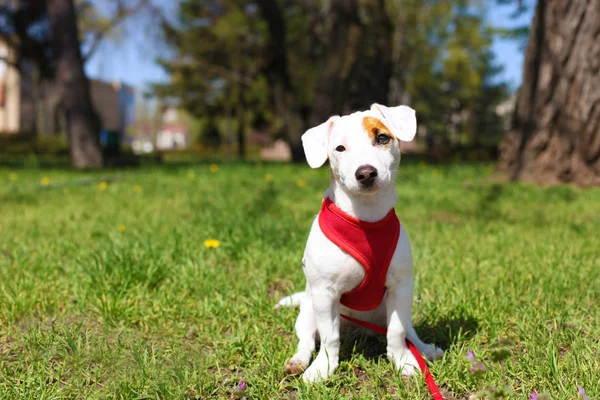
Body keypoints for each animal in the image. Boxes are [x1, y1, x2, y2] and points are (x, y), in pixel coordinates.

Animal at [274, 102, 442, 382]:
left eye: (382, 138)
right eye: (340, 148)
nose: (365, 173)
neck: (366, 217)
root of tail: (357, 330)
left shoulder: (401, 286)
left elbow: (396, 332)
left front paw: (402, 361)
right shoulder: (325, 293)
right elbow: (329, 338)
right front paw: (323, 367)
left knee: (409, 332)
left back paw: (424, 349)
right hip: (308, 310)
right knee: (307, 339)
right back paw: (298, 361)